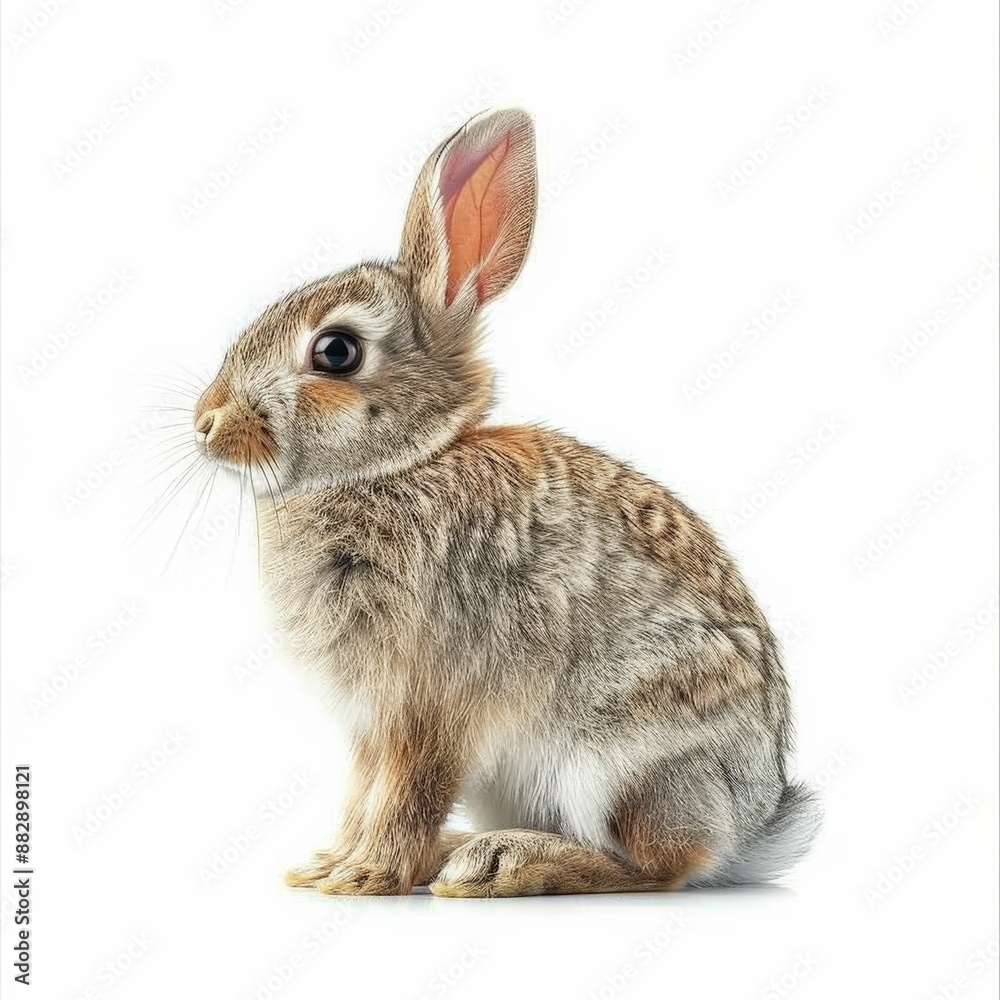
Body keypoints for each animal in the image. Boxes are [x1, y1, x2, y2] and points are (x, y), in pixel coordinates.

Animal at [192, 107, 819, 896]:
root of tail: (753, 826)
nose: (207, 422)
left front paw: (365, 876)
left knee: (658, 866)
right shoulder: (372, 722)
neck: (403, 463)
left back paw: (501, 863)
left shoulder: (430, 700)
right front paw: (328, 865)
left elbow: (408, 788)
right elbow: (364, 789)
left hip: (617, 758)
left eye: (335, 352)